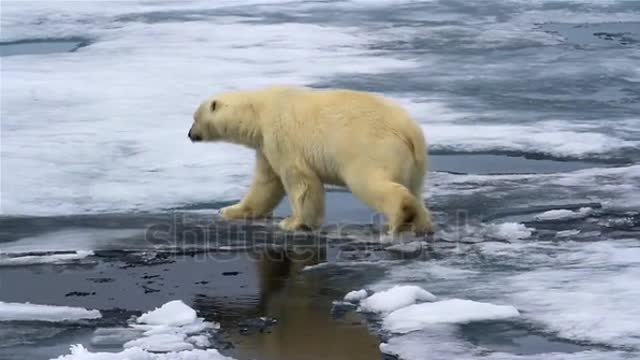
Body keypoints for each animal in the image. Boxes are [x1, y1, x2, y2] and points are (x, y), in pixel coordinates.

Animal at [189, 86, 436, 235]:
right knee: (415, 189)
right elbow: (266, 183)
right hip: (416, 163)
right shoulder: (265, 146)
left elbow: (300, 180)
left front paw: (293, 222)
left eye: (195, 117)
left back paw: (400, 219)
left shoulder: (281, 137)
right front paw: (229, 210)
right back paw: (422, 224)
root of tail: (409, 131)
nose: (190, 134)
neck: (258, 111)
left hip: (370, 149)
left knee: (369, 182)